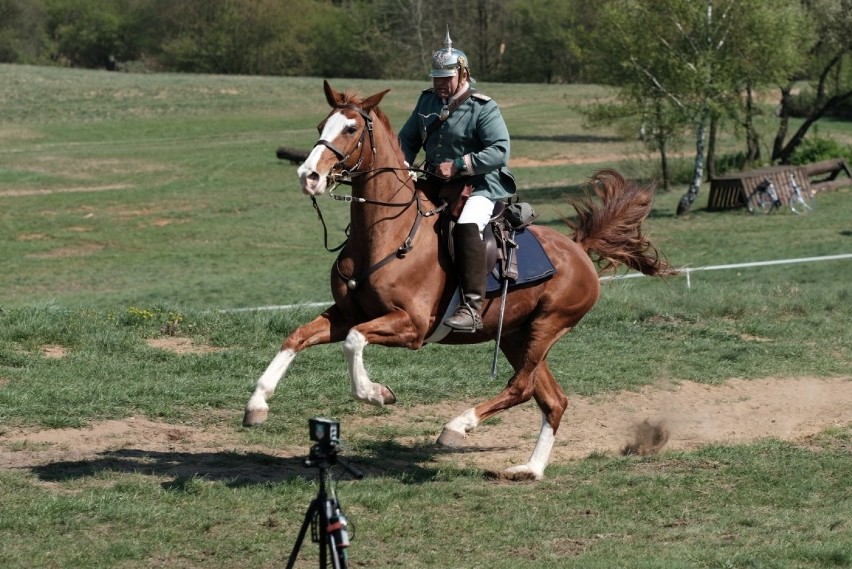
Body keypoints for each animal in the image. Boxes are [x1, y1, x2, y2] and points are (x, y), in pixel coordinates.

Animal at [243, 81, 676, 480]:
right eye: (322, 125)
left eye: (350, 128)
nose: (308, 176)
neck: (387, 232)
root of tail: (579, 250)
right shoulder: (347, 312)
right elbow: (297, 337)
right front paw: (257, 404)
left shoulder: (411, 326)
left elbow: (354, 342)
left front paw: (376, 394)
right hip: (517, 336)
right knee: (553, 400)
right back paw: (530, 469)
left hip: (547, 327)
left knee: (521, 388)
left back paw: (457, 427)